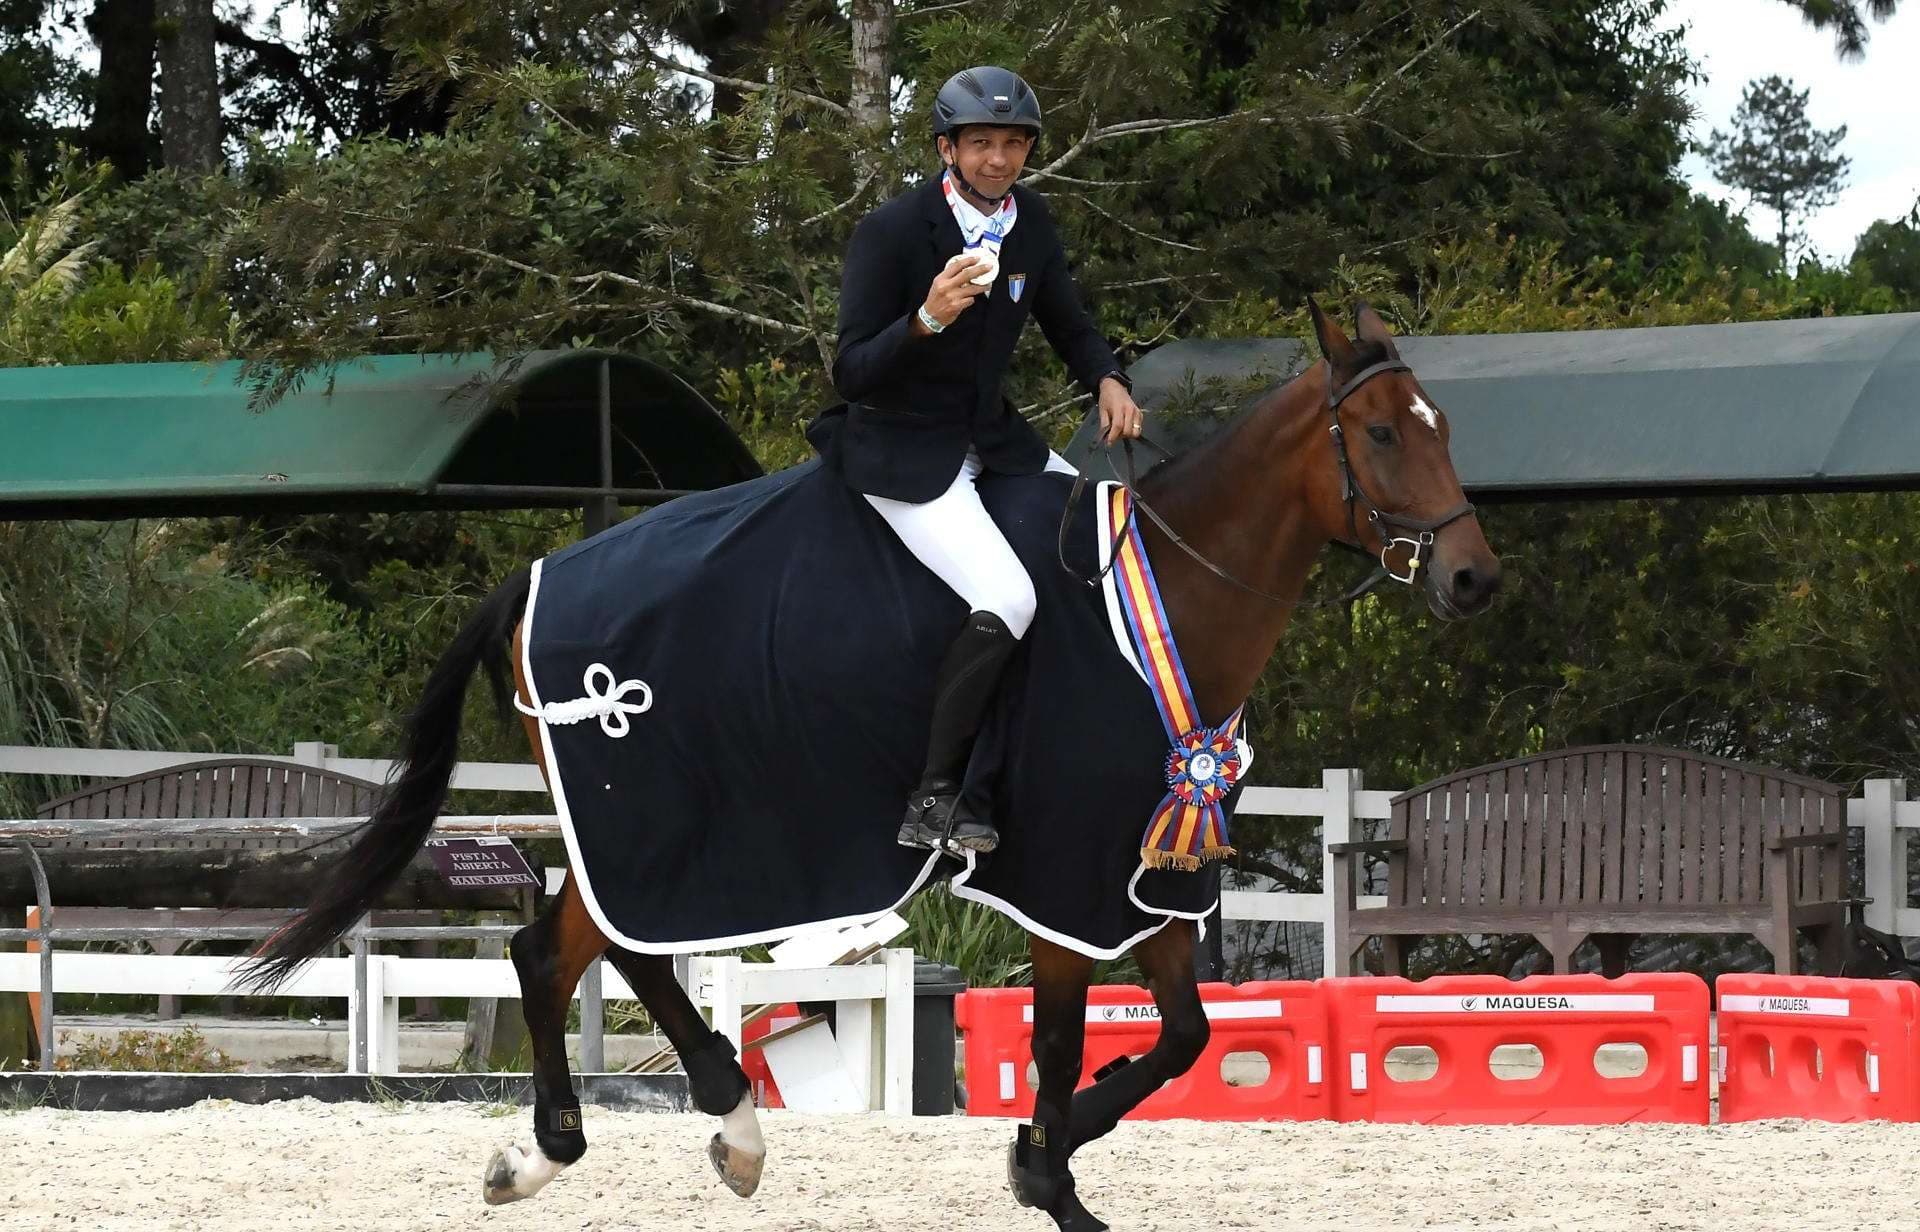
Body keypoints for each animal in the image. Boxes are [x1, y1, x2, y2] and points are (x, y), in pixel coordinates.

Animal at [241, 301, 1500, 1232]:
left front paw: (1043, 1150)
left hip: (665, 838)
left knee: (600, 948)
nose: (1474, 580)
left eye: (1445, 426)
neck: (1164, 603)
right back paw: (580, 1148)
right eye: (1383, 434)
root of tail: (538, 574)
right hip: (663, 819)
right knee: (550, 951)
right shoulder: (1061, 871)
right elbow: (1059, 1036)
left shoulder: (1150, 867)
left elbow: (1186, 1034)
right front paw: (1048, 1174)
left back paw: (713, 1125)